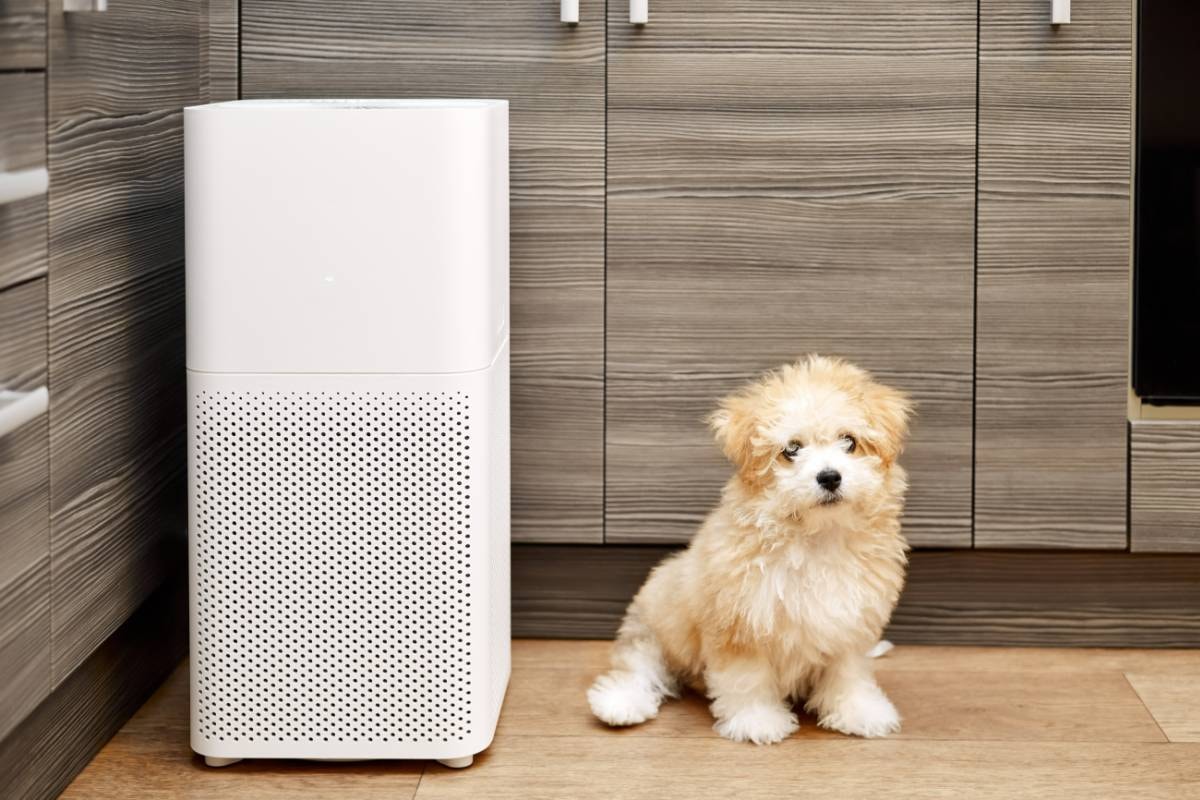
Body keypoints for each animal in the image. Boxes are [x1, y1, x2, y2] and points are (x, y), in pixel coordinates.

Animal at [588, 357, 907, 743]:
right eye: (791, 449)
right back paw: (620, 703)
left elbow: (849, 674)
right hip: (654, 624)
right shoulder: (740, 624)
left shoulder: (850, 621)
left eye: (849, 441)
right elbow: (747, 679)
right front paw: (758, 721)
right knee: (639, 666)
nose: (829, 476)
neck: (815, 537)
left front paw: (859, 711)